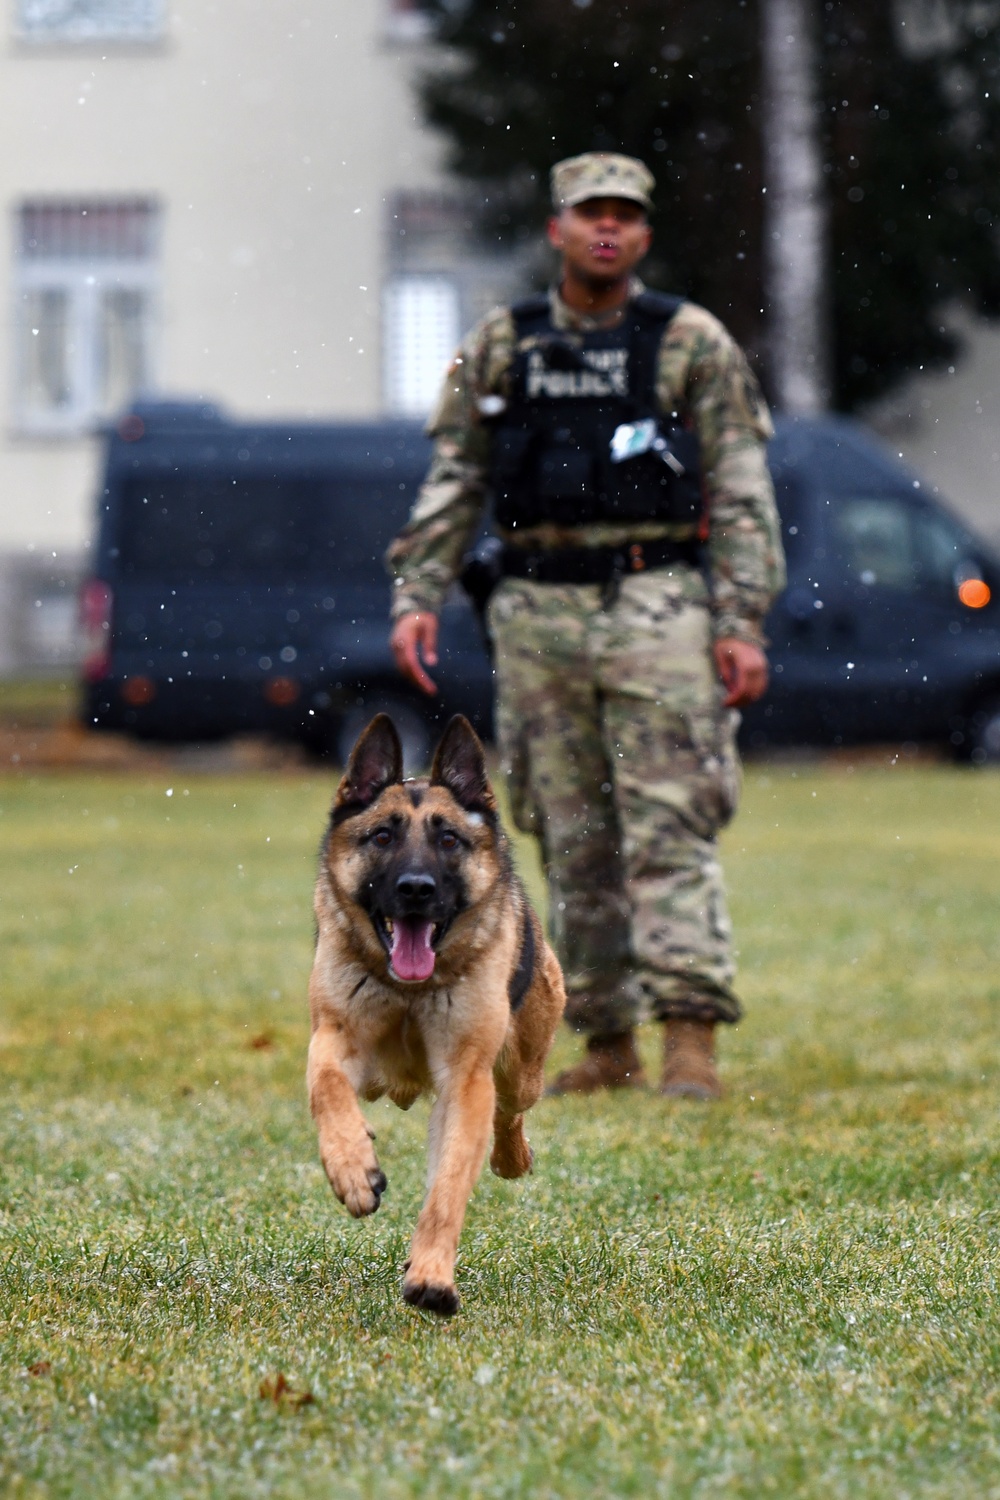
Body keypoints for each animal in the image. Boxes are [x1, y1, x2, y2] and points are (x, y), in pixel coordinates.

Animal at [308, 711, 563, 1314]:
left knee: (508, 1112)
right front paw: (353, 1170)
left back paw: (512, 1158)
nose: (416, 889)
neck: (408, 993)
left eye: (449, 840)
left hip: (520, 1070)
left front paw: (431, 1278)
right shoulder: (333, 1036)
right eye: (383, 836)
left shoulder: (465, 1078)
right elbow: (326, 1088)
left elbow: (446, 1189)